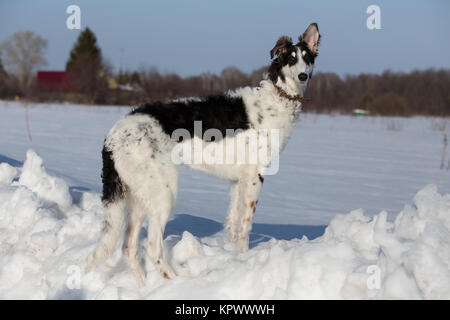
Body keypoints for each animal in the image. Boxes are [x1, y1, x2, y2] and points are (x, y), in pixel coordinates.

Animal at [86, 22, 320, 284]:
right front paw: (244, 257)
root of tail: (113, 135)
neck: (277, 97)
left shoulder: (238, 181)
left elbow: (233, 224)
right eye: (291, 59)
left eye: (307, 58)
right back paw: (176, 282)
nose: (303, 76)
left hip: (138, 198)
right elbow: (245, 227)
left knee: (128, 248)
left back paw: (145, 286)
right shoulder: (254, 177)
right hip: (163, 193)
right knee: (153, 248)